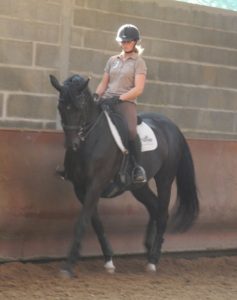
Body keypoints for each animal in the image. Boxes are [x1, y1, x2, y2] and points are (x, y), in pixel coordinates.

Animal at [49, 74, 199, 278]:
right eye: (60, 107)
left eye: (79, 108)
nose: (72, 145)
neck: (91, 140)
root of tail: (171, 126)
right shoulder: (81, 188)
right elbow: (95, 222)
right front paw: (109, 260)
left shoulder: (96, 184)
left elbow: (82, 222)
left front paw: (68, 265)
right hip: (139, 186)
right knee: (154, 206)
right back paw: (150, 248)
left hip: (165, 179)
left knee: (162, 213)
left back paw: (153, 260)